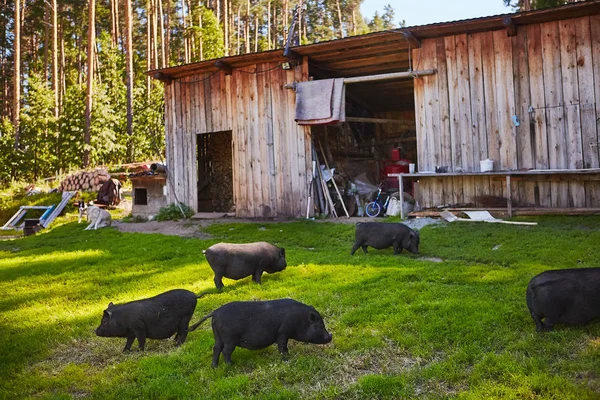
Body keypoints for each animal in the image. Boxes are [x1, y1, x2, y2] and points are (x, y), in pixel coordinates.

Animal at [189, 298, 332, 368]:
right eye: (320, 325)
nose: (330, 336)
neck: (300, 320)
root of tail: (215, 312)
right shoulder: (282, 332)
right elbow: (282, 346)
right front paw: (287, 358)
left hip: (218, 336)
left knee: (216, 348)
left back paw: (214, 367)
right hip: (230, 338)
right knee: (225, 351)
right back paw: (231, 365)